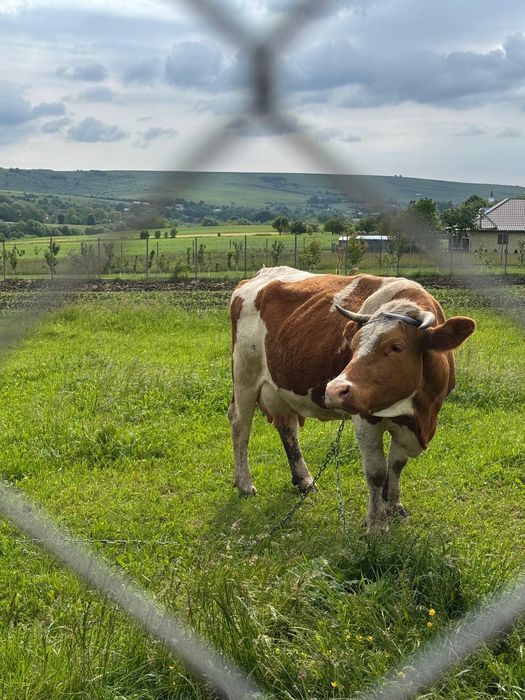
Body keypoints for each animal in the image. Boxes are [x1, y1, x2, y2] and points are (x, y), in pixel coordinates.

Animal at [229, 266, 475, 532]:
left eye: (396, 346)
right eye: (354, 345)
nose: (334, 390)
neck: (419, 413)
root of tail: (260, 274)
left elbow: (396, 465)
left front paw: (393, 504)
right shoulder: (365, 418)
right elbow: (377, 472)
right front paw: (377, 524)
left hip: (280, 388)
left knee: (288, 429)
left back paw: (305, 480)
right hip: (244, 376)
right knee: (240, 426)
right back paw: (244, 483)